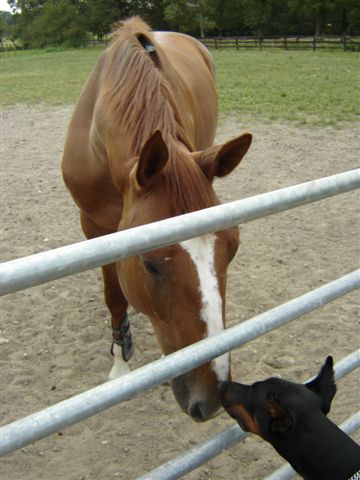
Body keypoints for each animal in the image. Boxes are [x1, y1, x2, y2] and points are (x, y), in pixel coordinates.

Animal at [61, 16, 250, 420]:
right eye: (149, 264)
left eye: (233, 248)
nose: (213, 396)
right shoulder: (94, 227)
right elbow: (114, 294)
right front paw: (120, 363)